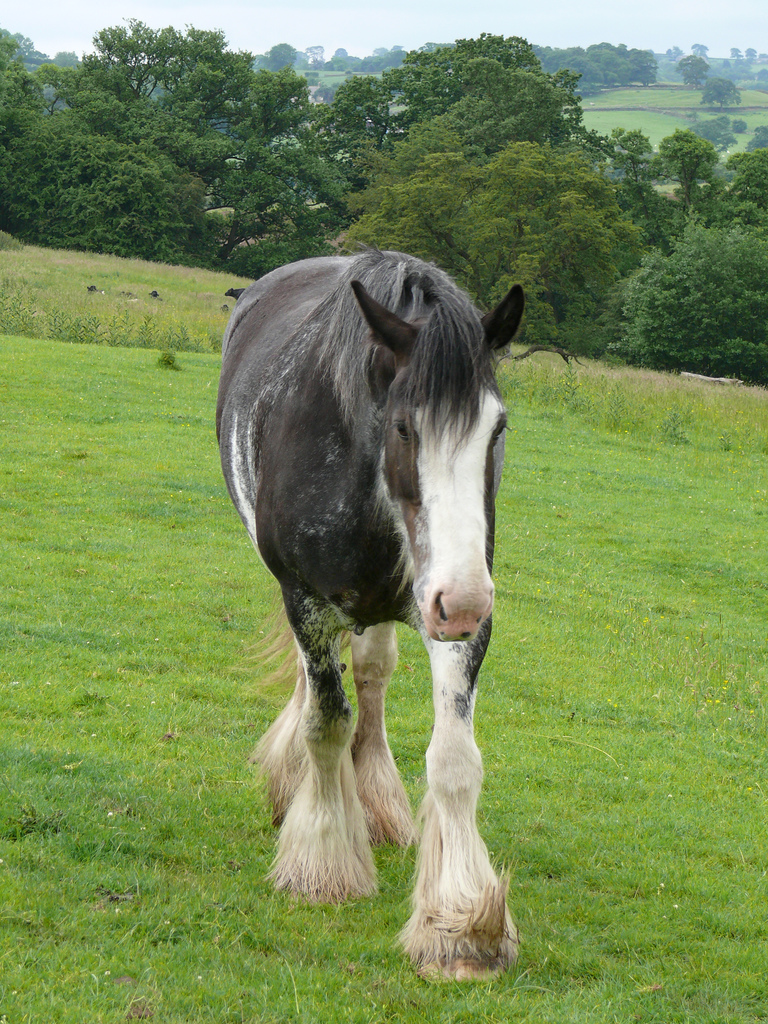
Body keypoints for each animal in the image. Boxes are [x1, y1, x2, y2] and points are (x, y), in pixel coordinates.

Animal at [216, 248, 524, 978]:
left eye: (496, 429)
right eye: (405, 426)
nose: (465, 601)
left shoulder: (451, 619)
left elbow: (454, 759)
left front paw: (460, 921)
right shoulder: (305, 598)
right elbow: (326, 724)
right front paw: (324, 862)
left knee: (374, 673)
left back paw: (378, 805)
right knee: (323, 689)